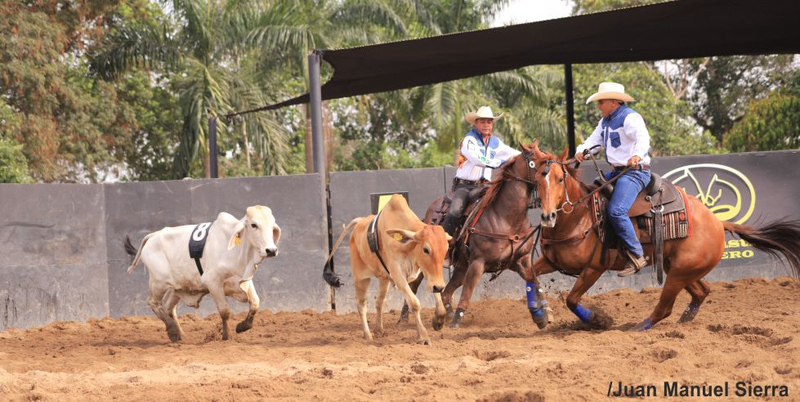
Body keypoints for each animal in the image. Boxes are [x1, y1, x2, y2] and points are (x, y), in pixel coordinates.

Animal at [122, 206, 278, 340]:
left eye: (272, 226)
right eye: (254, 225)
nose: (271, 250)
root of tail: (154, 235)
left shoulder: (244, 280)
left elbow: (255, 303)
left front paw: (242, 326)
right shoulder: (213, 282)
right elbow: (224, 311)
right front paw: (227, 336)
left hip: (177, 287)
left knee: (168, 308)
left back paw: (181, 336)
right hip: (158, 283)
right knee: (153, 303)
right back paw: (173, 331)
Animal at [532, 143, 800, 332]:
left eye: (559, 179)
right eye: (537, 181)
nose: (547, 216)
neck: (580, 216)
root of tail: (717, 222)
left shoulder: (594, 268)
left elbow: (571, 299)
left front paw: (597, 319)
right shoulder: (550, 261)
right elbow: (531, 276)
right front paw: (540, 315)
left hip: (679, 272)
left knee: (665, 307)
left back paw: (639, 327)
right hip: (679, 268)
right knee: (701, 291)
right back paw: (685, 320)